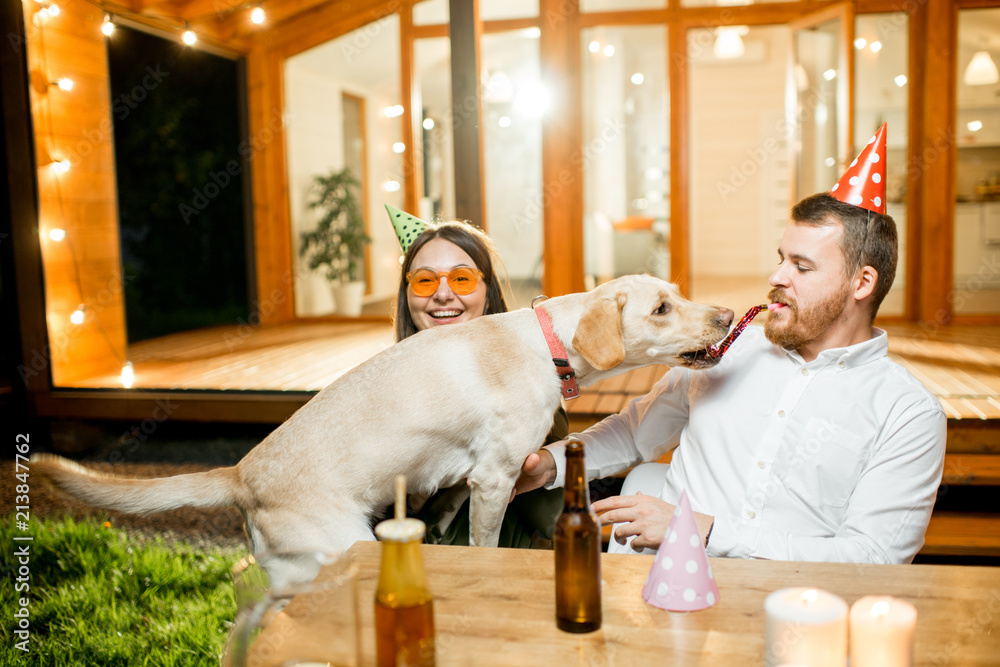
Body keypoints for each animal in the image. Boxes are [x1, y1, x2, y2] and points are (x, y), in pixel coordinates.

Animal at [33, 276, 736, 564]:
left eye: (678, 294)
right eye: (662, 307)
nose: (728, 314)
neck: (546, 340)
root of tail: (241, 471)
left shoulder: (462, 479)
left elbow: (446, 512)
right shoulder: (494, 478)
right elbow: (484, 544)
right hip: (341, 542)